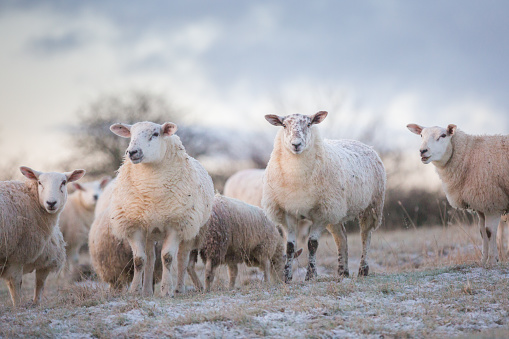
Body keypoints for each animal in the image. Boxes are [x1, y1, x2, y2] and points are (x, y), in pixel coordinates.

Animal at [0, 166, 85, 306]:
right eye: (39, 182)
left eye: (64, 182)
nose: (51, 203)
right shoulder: (17, 255)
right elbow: (16, 287)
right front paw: (18, 307)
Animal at [109, 121, 214, 296]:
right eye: (131, 134)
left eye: (155, 134)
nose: (132, 152)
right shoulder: (134, 226)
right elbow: (139, 260)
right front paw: (135, 291)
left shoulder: (175, 225)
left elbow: (168, 258)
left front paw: (166, 290)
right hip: (150, 232)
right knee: (150, 259)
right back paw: (146, 291)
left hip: (190, 229)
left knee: (182, 259)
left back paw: (178, 289)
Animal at [262, 111, 384, 282]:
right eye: (284, 125)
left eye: (308, 124)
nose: (296, 144)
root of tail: (366, 146)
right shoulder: (288, 213)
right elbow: (290, 247)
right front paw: (287, 277)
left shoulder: (321, 214)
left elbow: (312, 244)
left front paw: (310, 275)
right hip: (337, 211)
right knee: (342, 238)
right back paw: (342, 272)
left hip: (371, 206)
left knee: (365, 236)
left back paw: (363, 269)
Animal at [406, 123, 509, 266]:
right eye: (421, 135)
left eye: (443, 135)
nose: (423, 151)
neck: (469, 154)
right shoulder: (481, 206)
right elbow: (482, 232)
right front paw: (483, 260)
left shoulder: (492, 202)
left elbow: (489, 232)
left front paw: (492, 261)